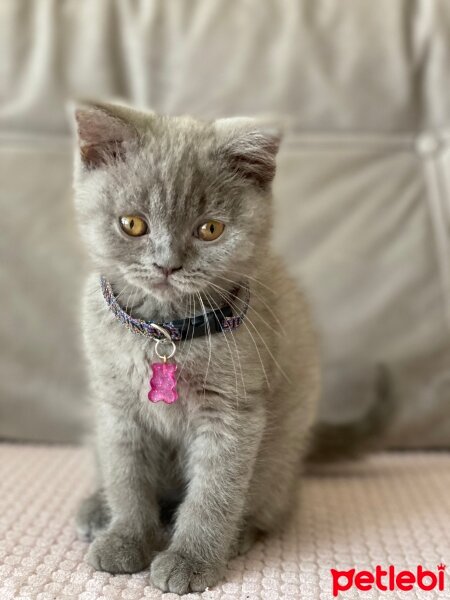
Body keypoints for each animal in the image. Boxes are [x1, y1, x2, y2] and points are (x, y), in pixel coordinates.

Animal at [72, 101, 320, 592]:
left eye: (210, 229)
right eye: (133, 224)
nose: (167, 264)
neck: (164, 332)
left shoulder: (232, 413)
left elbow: (214, 492)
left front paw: (191, 559)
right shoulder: (116, 406)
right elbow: (125, 475)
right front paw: (126, 539)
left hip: (282, 455)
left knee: (270, 504)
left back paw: (241, 533)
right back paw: (95, 509)